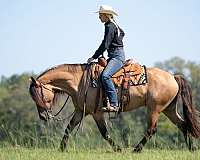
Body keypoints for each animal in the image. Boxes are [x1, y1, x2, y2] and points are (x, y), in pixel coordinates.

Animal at [28, 62, 200, 152]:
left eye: (38, 95)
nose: (43, 117)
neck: (79, 82)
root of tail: (173, 76)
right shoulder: (81, 111)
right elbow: (68, 129)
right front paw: (61, 149)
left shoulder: (97, 113)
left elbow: (105, 133)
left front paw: (119, 150)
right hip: (168, 109)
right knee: (183, 125)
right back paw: (192, 149)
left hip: (154, 109)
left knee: (151, 130)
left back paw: (135, 150)